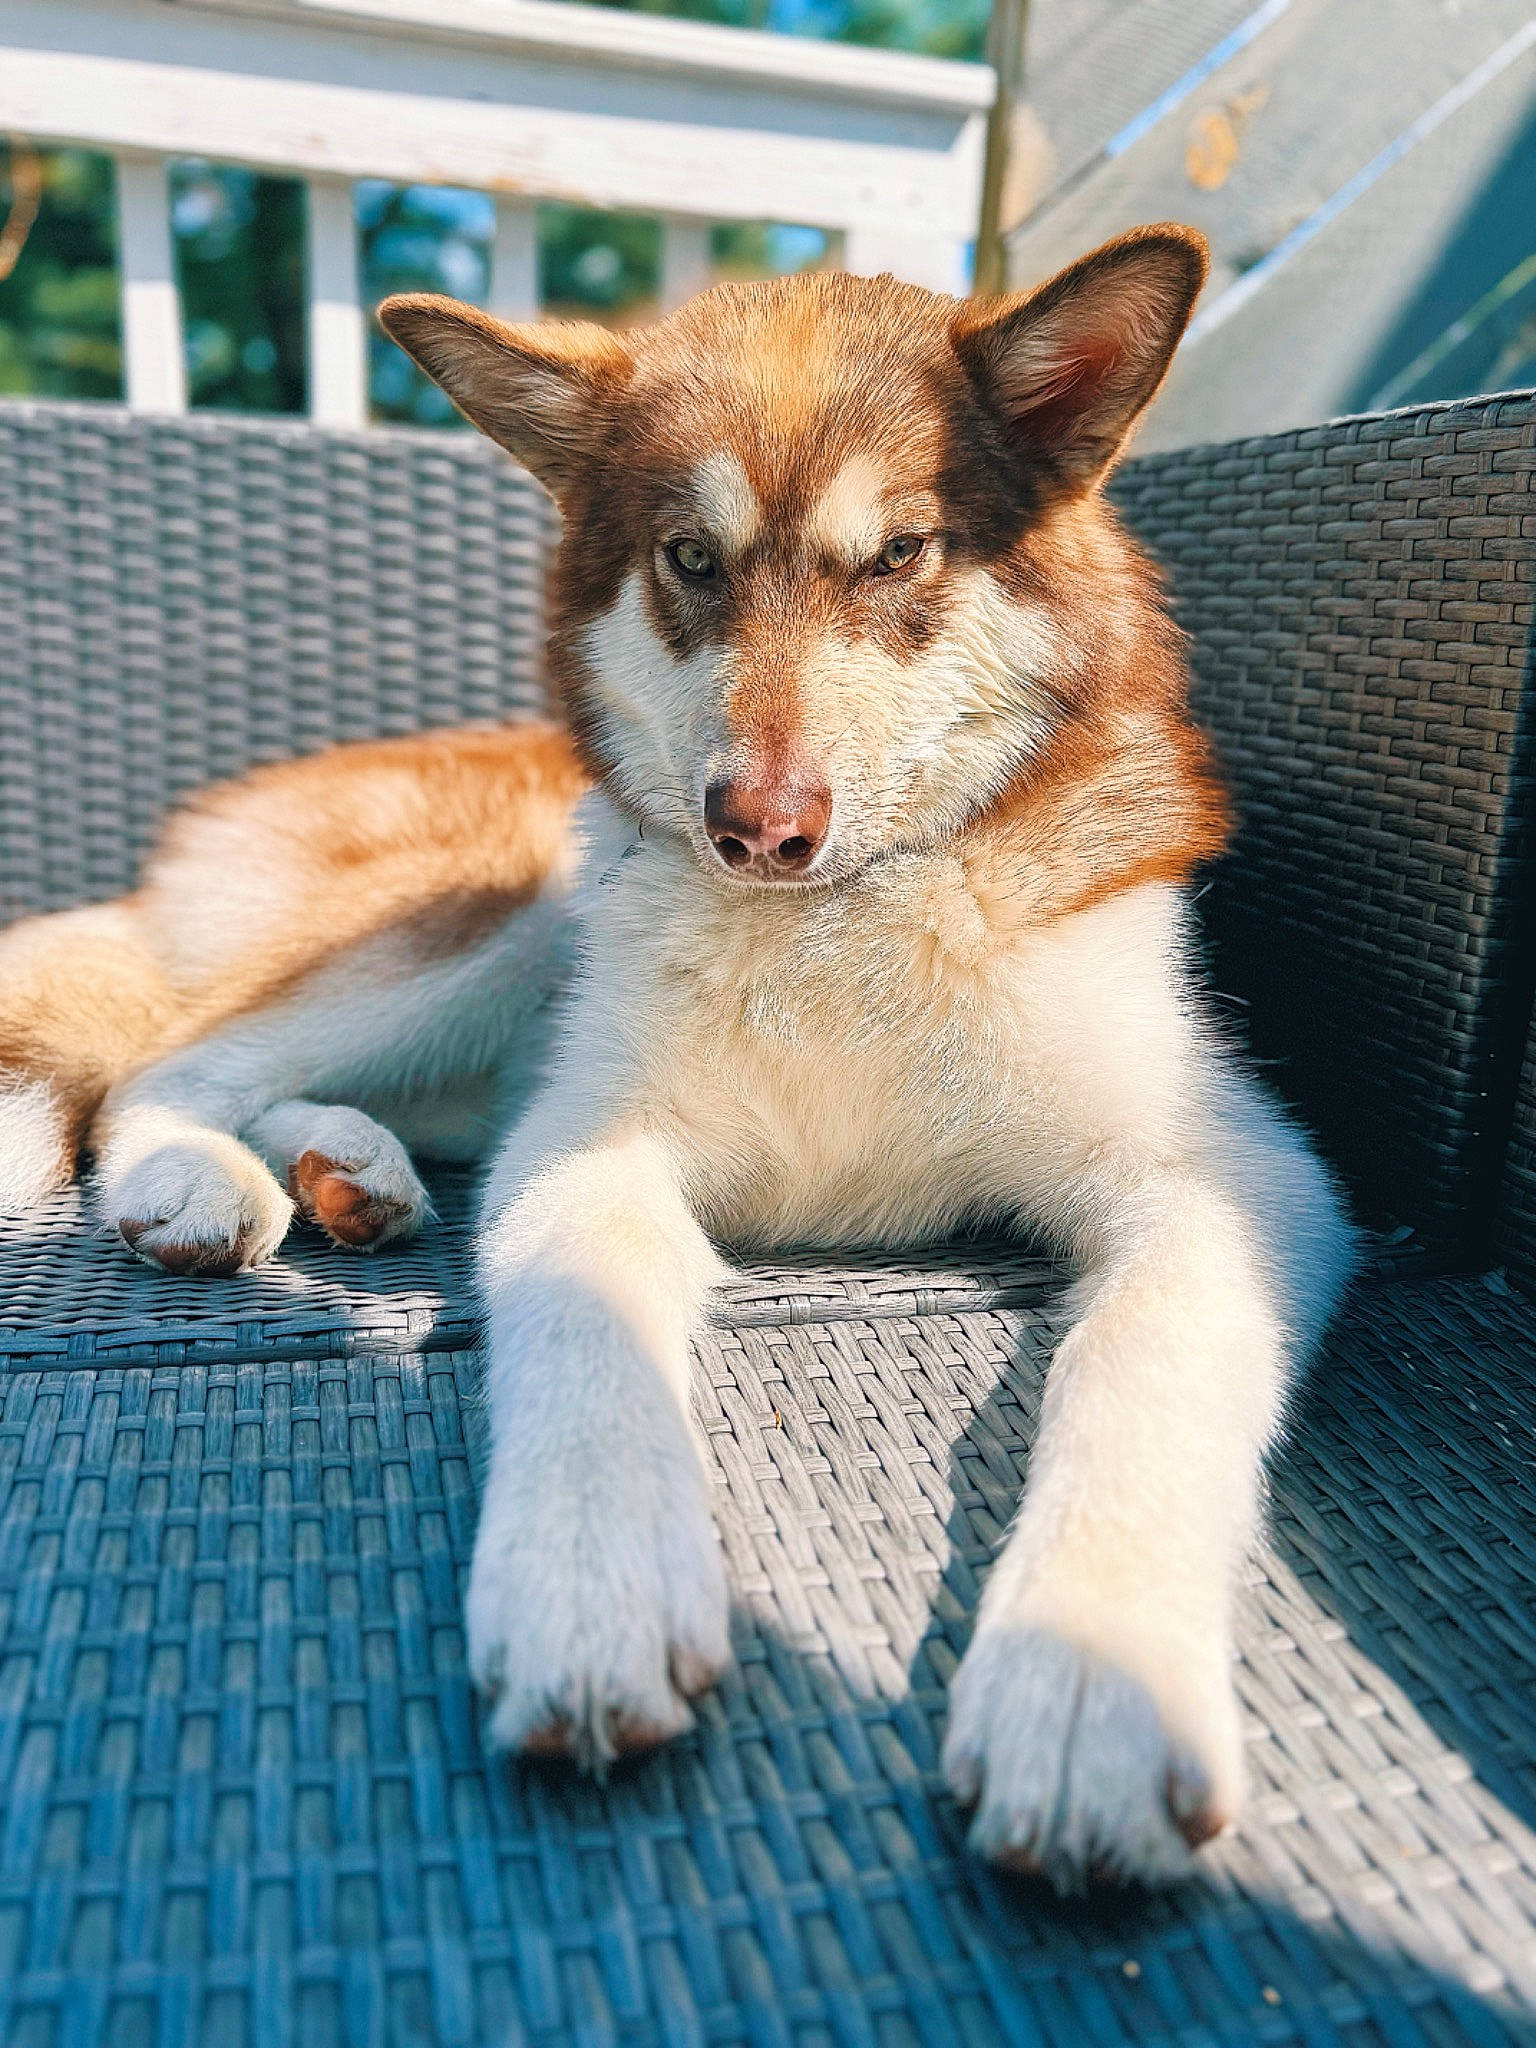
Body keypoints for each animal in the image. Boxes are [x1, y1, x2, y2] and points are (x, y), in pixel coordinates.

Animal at [0, 224, 1353, 1890]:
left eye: (900, 555)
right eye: (690, 560)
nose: (756, 829)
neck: (841, 922)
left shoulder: (1233, 1177)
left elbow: (1146, 1350)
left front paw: (1090, 1682)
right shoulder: (598, 1144)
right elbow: (588, 1318)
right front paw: (591, 1583)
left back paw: (351, 1168)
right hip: (515, 906)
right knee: (171, 1057)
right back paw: (199, 1177)